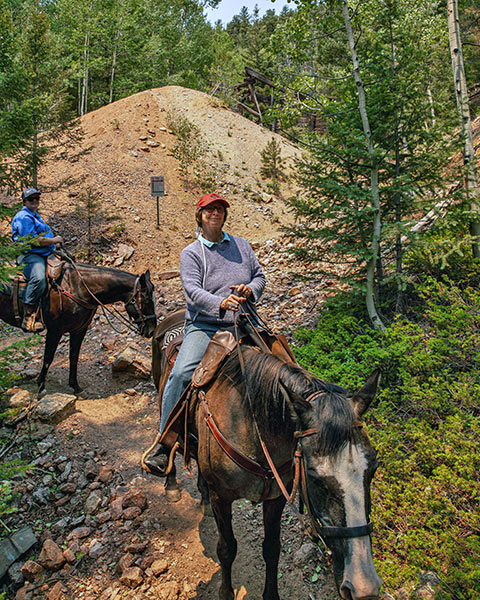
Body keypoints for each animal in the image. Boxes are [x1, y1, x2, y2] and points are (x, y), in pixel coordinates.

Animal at [0, 264, 156, 398]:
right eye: (147, 300)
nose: (151, 330)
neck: (79, 289)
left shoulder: (79, 330)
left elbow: (74, 357)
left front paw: (76, 387)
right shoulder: (55, 331)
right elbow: (48, 358)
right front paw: (41, 386)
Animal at [154, 328, 382, 600]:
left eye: (373, 469)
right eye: (314, 476)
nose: (364, 587)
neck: (251, 423)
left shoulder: (276, 497)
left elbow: (272, 549)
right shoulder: (223, 496)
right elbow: (227, 548)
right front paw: (226, 592)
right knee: (170, 441)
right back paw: (168, 480)